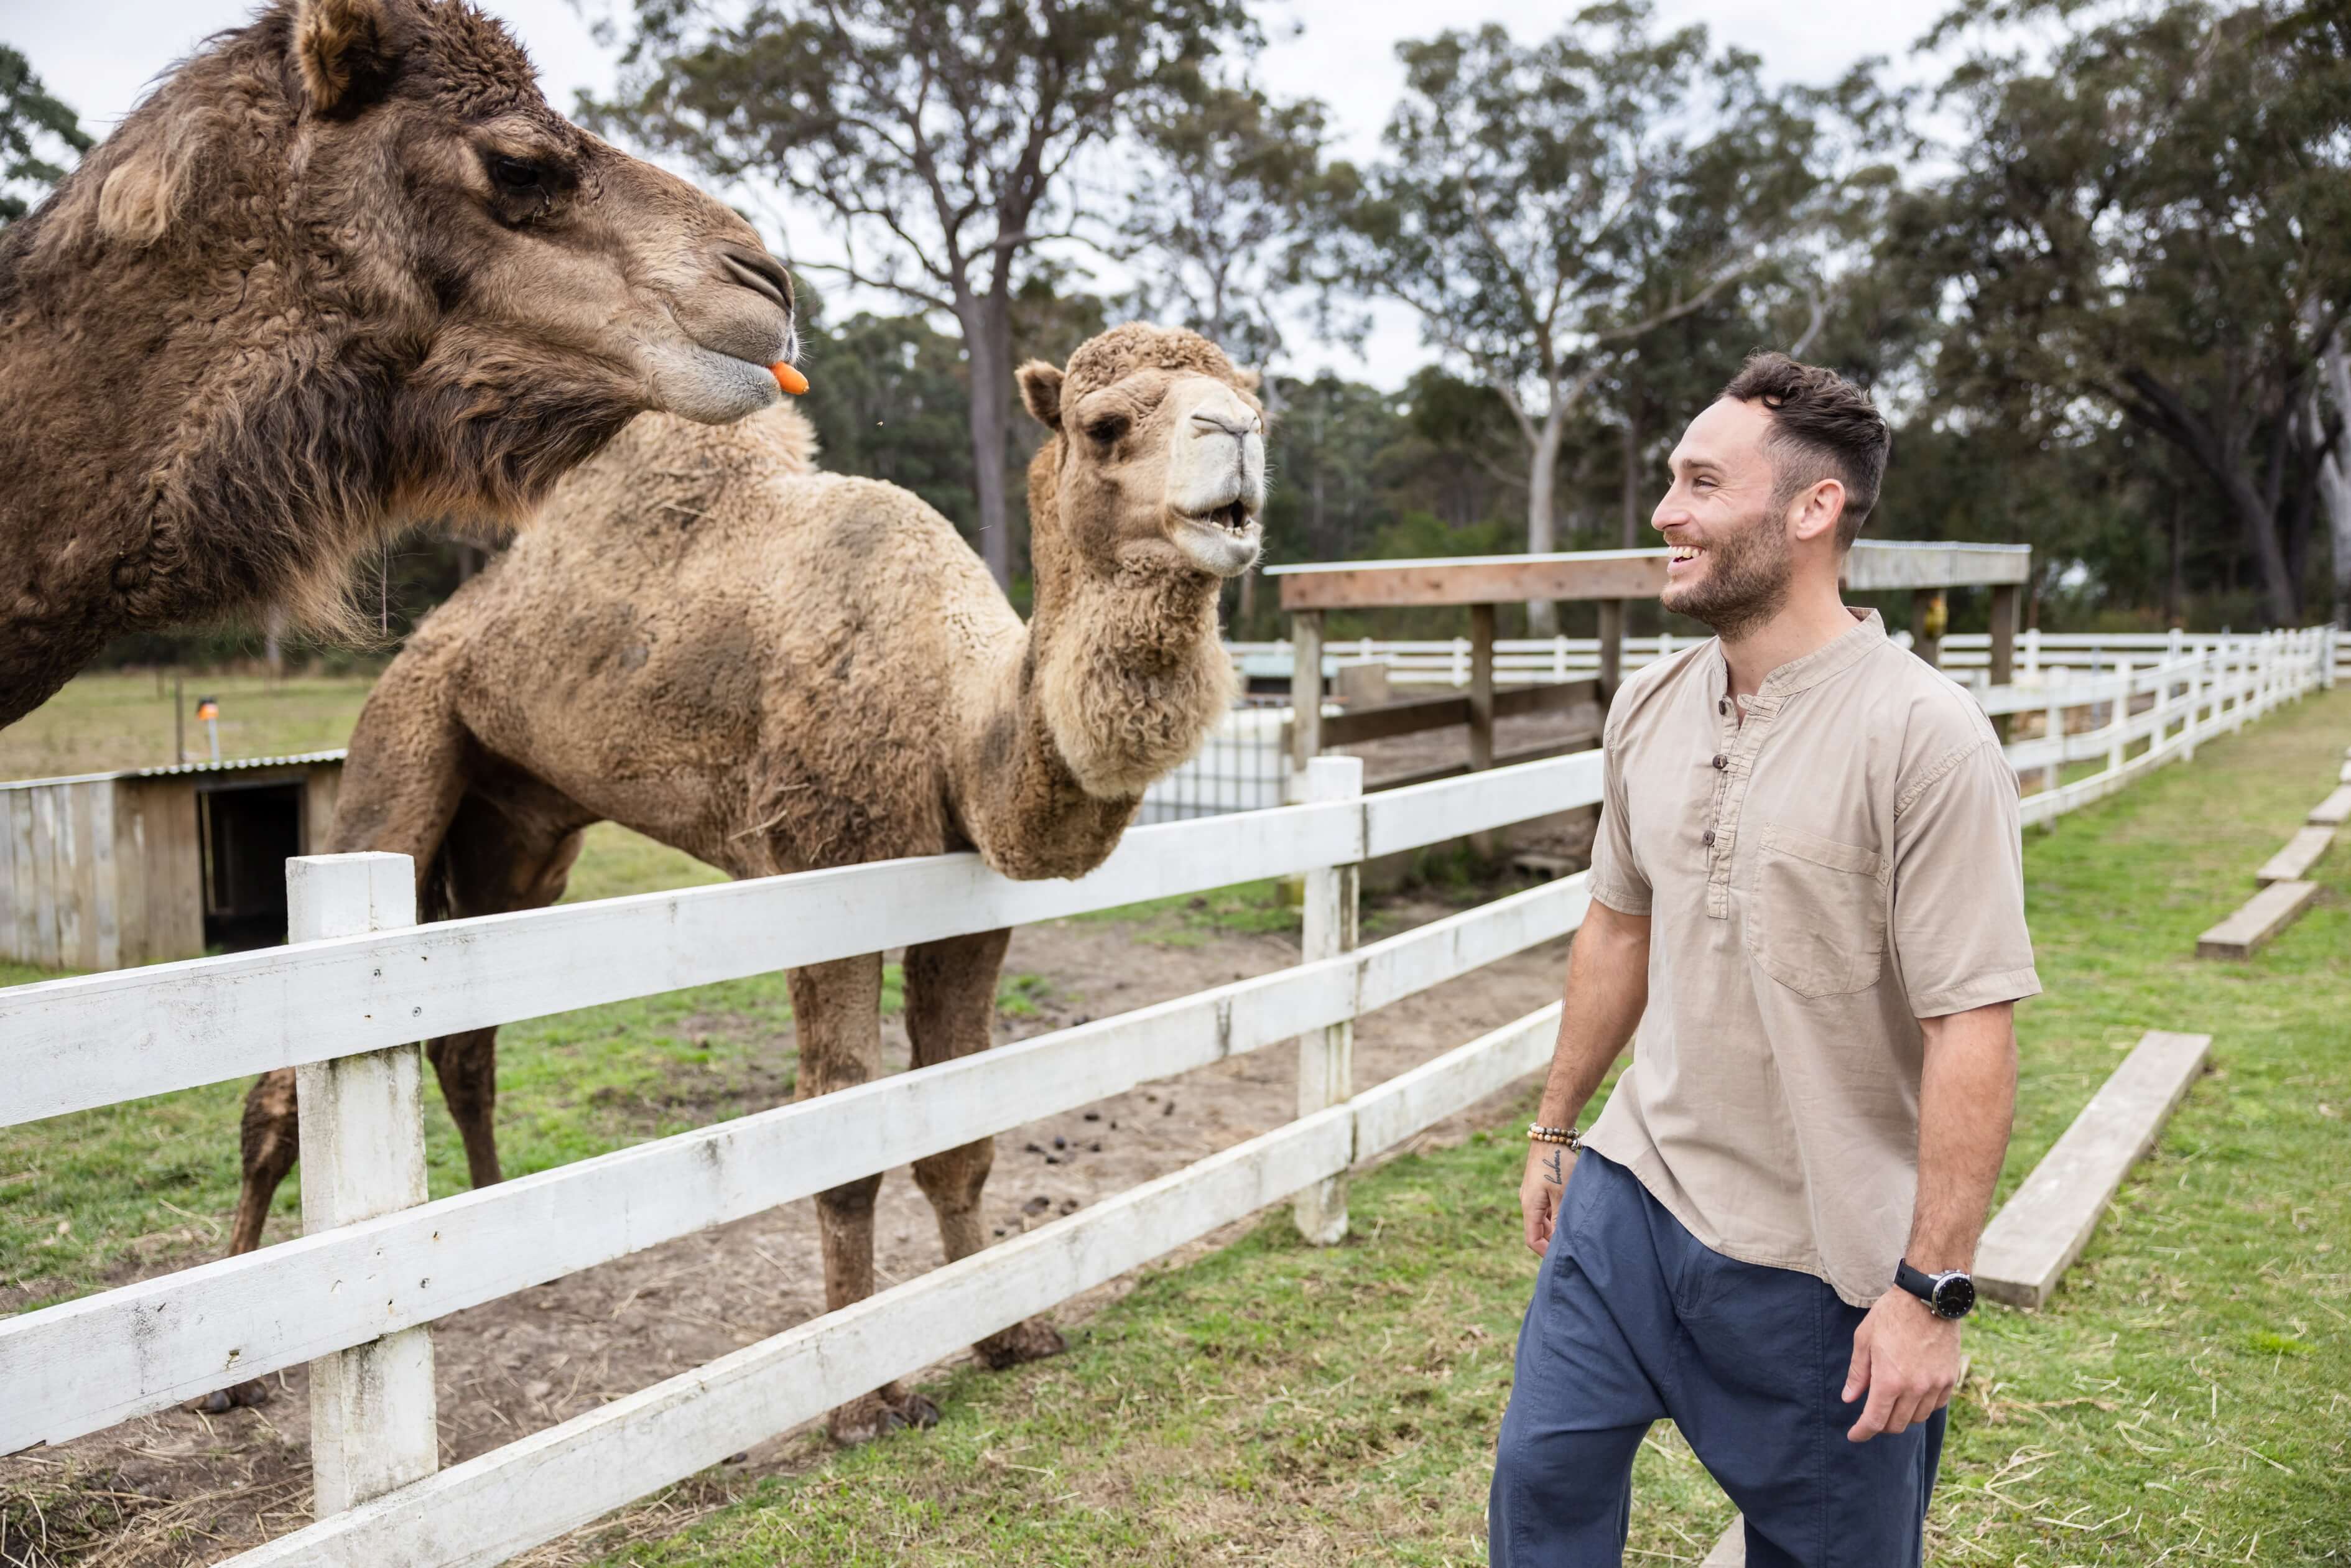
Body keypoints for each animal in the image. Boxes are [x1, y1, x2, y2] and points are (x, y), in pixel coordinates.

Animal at [224, 324, 1269, 1439]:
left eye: (1253, 397)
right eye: (1105, 424)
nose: (1239, 436)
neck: (951, 721)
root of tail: (439, 627)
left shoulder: (972, 911)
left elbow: (962, 1134)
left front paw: (1008, 1333)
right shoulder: (823, 877)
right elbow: (843, 1139)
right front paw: (863, 1401)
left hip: (520, 830)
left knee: (468, 1044)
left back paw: (503, 1259)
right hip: (405, 745)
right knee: (289, 1077)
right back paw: (236, 1365)